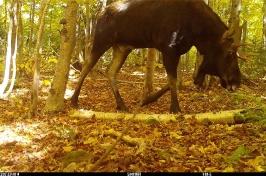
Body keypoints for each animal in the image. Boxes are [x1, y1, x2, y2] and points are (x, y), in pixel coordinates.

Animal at [71, 0, 242, 113]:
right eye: (230, 53)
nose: (237, 81)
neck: (197, 34)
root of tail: (99, 14)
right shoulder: (169, 49)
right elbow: (173, 81)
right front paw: (175, 108)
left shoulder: (177, 52)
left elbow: (180, 80)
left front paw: (146, 100)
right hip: (102, 40)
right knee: (87, 65)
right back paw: (74, 100)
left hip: (122, 47)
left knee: (110, 71)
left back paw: (121, 104)